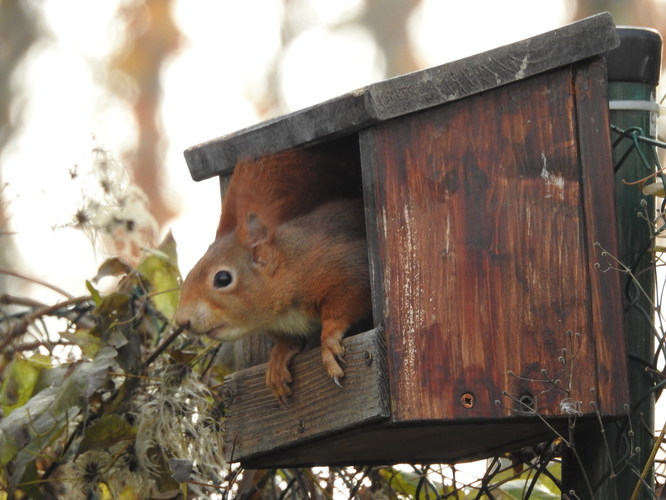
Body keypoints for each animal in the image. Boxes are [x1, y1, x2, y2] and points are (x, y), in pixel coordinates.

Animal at [174, 149, 370, 402]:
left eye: (223, 279)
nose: (182, 321)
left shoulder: (345, 267)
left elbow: (344, 304)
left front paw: (328, 343)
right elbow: (287, 340)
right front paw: (279, 357)